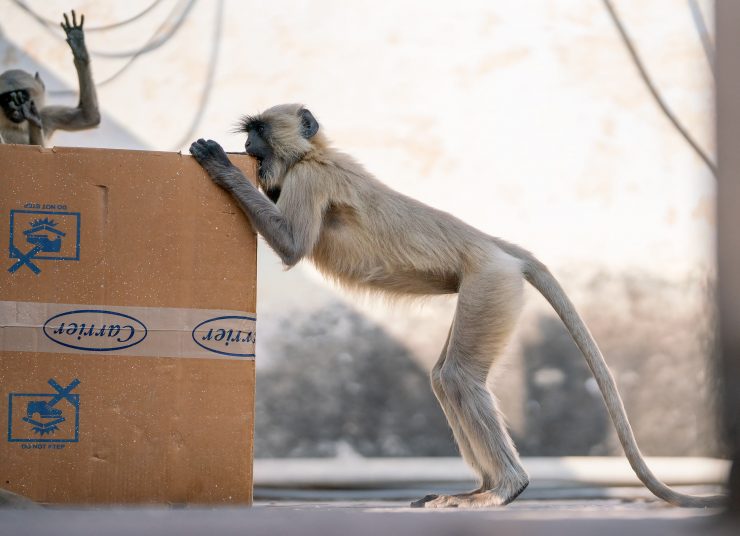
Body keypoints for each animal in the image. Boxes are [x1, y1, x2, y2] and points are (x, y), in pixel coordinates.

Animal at [0, 11, 99, 147]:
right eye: (6, 99)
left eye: (23, 97)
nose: (14, 107)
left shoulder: (46, 115)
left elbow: (89, 116)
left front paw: (78, 46)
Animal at [188, 103, 724, 506]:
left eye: (258, 133)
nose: (249, 148)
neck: (312, 155)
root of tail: (495, 247)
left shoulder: (310, 179)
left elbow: (293, 247)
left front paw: (218, 165)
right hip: (485, 288)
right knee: (444, 378)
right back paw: (481, 487)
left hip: (491, 283)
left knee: (458, 378)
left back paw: (505, 489)